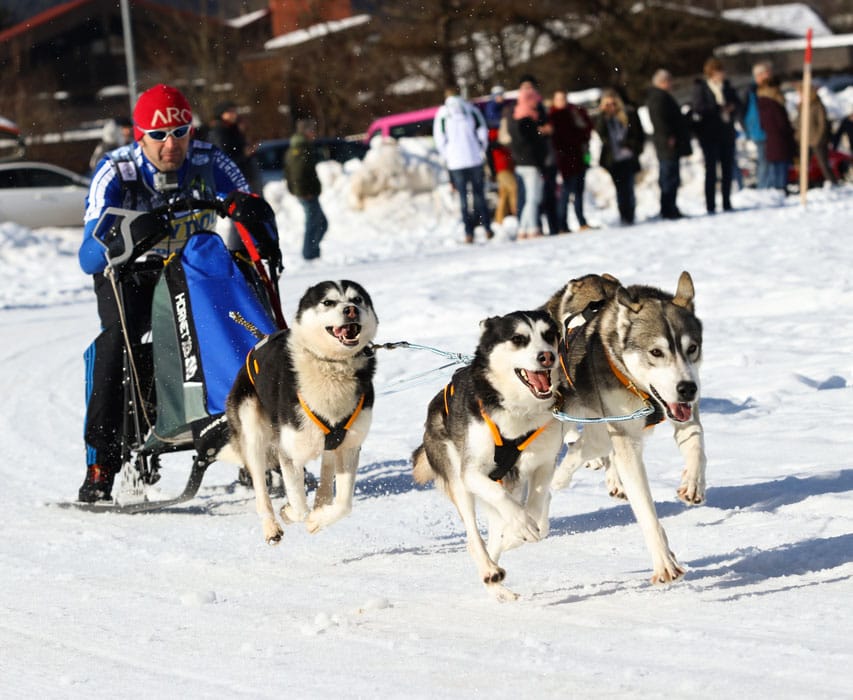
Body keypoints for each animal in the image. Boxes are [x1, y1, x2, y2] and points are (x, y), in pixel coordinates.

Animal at [221, 282, 378, 544]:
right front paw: (291, 512)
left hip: (329, 443)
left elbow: (344, 504)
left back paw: (320, 504)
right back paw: (271, 526)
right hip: (253, 434)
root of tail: (260, 340)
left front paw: (318, 519)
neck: (332, 367)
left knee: (326, 474)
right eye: (328, 302)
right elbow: (298, 503)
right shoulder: (289, 453)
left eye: (357, 299)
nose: (351, 310)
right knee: (261, 489)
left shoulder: (350, 446)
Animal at [412, 312, 564, 600]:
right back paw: (490, 570)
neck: (518, 410)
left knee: (499, 528)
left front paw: (523, 530)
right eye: (518, 338)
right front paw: (522, 527)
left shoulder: (545, 463)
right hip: (459, 482)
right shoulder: (472, 472)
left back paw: (497, 579)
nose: (547, 356)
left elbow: (536, 504)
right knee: (475, 538)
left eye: (550, 335)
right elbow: (503, 499)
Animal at [544, 270, 704, 584]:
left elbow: (697, 443)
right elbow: (645, 509)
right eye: (656, 352)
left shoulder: (681, 410)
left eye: (692, 348)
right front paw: (664, 563)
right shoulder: (625, 436)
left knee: (592, 445)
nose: (687, 388)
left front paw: (693, 481)